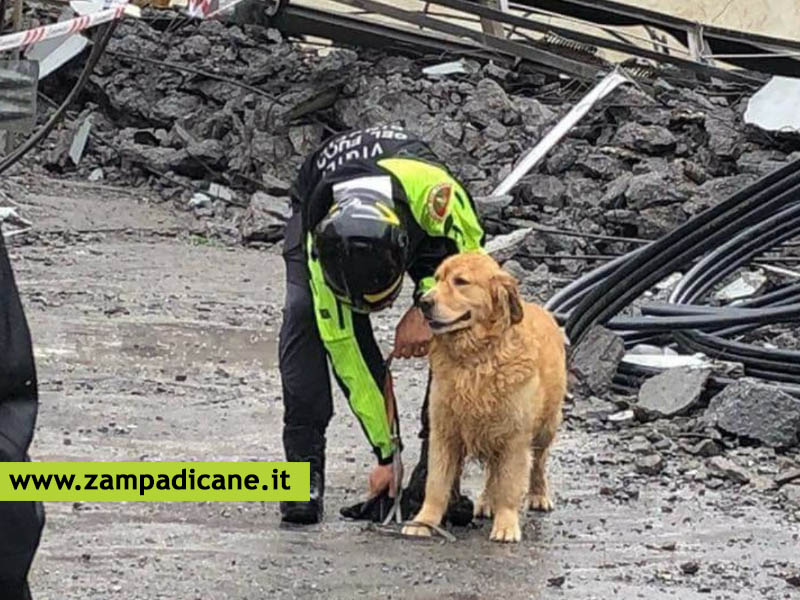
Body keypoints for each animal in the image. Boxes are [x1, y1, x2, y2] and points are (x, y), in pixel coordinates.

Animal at [404, 251, 564, 540]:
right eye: (437, 278)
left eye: (461, 281)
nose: (424, 302)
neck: (475, 357)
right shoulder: (444, 431)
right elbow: (436, 484)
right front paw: (424, 521)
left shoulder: (514, 436)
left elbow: (510, 484)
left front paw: (506, 525)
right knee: (493, 473)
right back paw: (488, 501)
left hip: (545, 427)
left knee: (538, 463)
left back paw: (538, 495)